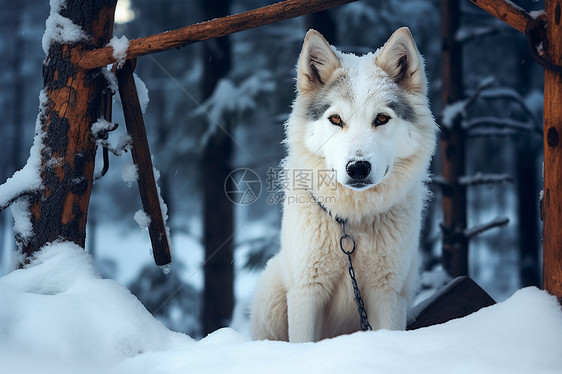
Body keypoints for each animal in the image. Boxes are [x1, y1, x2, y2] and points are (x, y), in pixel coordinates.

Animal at [250, 27, 438, 340]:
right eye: (336, 119)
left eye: (382, 118)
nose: (358, 168)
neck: (352, 221)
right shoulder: (307, 291)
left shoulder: (387, 294)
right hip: (273, 295)